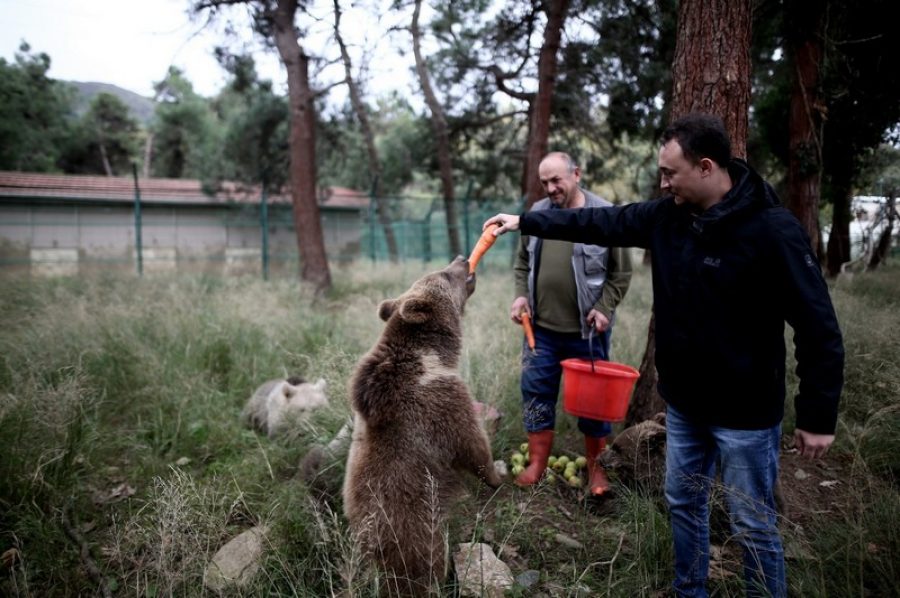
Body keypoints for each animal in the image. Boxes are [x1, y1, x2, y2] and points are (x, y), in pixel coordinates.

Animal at [342, 255, 502, 596]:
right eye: (443, 274)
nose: (462, 258)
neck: (430, 355)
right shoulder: (441, 403)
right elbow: (473, 443)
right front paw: (497, 475)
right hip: (415, 528)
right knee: (423, 568)